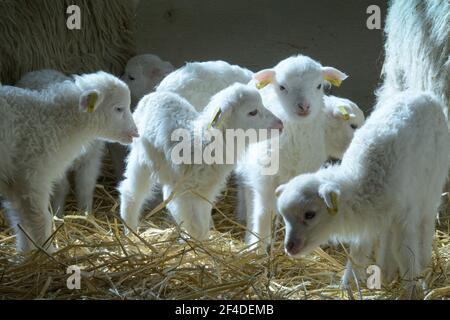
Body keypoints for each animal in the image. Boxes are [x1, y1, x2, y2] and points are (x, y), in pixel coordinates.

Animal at [16, 68, 104, 216]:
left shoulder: (91, 159)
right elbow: (61, 188)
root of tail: (39, 70)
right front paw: (58, 214)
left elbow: (85, 186)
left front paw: (86, 214)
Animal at [276, 90, 448, 298]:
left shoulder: (404, 216)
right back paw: (387, 272)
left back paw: (423, 260)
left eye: (310, 214)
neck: (363, 179)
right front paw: (348, 286)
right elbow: (359, 251)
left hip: (431, 183)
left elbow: (404, 252)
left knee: (426, 220)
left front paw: (413, 289)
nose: (289, 247)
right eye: (285, 217)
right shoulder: (372, 221)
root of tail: (424, 94)